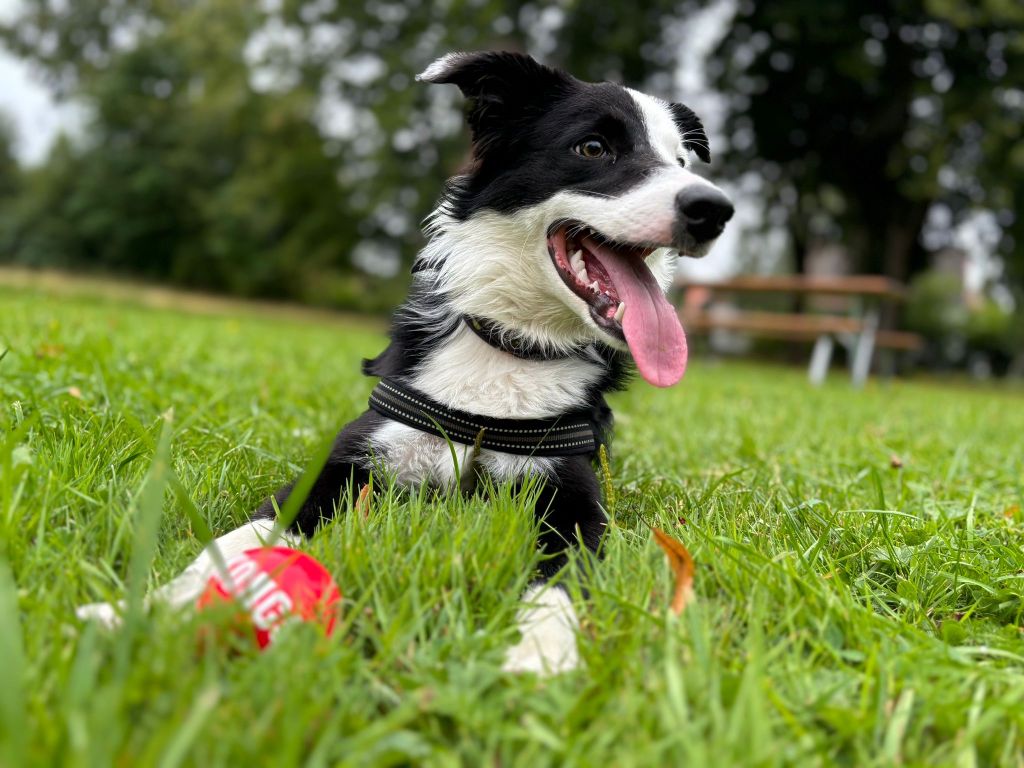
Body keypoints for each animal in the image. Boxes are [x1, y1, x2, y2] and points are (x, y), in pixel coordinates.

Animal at [81, 51, 737, 671]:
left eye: (682, 163)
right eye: (594, 147)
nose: (714, 209)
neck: (510, 349)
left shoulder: (571, 501)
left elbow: (558, 583)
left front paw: (540, 651)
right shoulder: (346, 462)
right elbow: (239, 538)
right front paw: (142, 609)